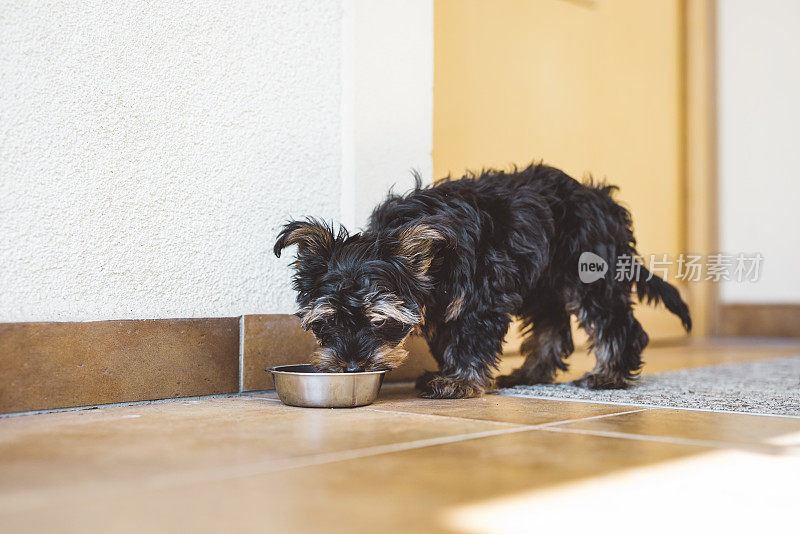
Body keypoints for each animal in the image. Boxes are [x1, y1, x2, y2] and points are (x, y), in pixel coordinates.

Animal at [274, 165, 688, 400]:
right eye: (327, 323)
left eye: (379, 322)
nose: (351, 367)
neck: (435, 257)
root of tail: (605, 202)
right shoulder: (442, 306)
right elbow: (448, 340)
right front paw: (448, 374)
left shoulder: (480, 299)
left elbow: (470, 340)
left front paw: (459, 381)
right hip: (544, 283)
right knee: (552, 326)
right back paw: (529, 373)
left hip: (591, 272)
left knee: (614, 322)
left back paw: (609, 374)